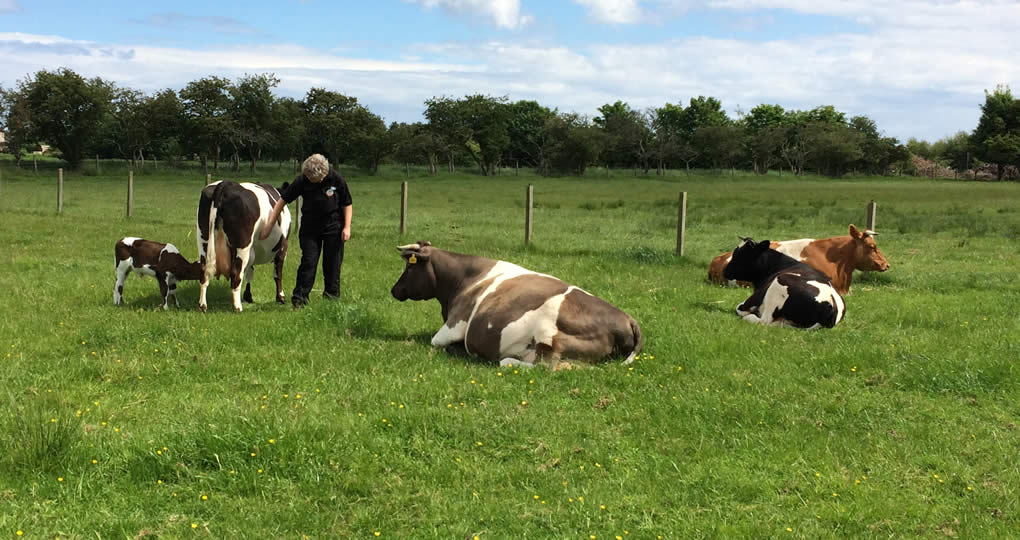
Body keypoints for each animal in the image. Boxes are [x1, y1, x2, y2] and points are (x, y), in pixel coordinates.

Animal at [194, 179, 291, 312]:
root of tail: (226, 184)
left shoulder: (252, 250)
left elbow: (250, 271)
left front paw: (248, 296)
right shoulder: (282, 248)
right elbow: (278, 274)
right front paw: (280, 297)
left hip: (204, 241)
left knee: (204, 271)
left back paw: (202, 305)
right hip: (242, 245)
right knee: (236, 274)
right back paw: (237, 307)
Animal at [385, 241, 640, 367]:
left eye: (409, 267)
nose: (394, 290)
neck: (464, 279)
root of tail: (627, 318)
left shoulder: (451, 327)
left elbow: (435, 341)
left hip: (548, 337)